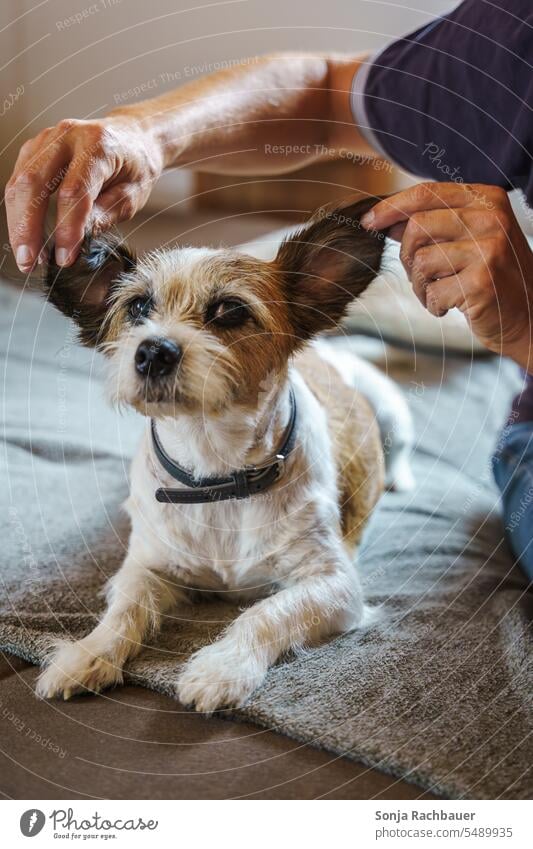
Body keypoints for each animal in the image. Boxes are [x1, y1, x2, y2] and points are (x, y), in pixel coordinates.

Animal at [36, 197, 412, 708]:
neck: (216, 474)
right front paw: (87, 653)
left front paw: (223, 668)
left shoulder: (334, 583)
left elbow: (266, 613)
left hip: (393, 413)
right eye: (138, 306)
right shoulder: (144, 566)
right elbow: (125, 610)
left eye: (230, 310)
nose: (153, 351)